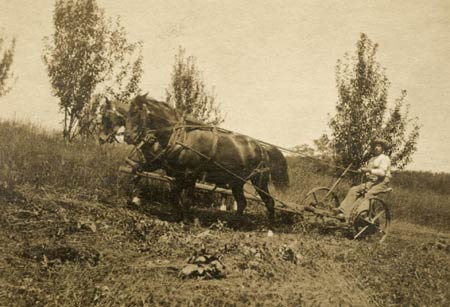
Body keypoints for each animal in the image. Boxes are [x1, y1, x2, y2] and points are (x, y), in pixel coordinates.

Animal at [100, 95, 290, 223]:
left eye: (137, 114)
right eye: (127, 115)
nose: (128, 137)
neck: (178, 136)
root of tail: (262, 147)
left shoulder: (190, 173)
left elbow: (186, 197)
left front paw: (187, 219)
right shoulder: (169, 169)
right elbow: (149, 180)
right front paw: (176, 214)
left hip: (259, 180)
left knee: (269, 202)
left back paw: (269, 228)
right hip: (237, 181)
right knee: (242, 203)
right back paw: (232, 223)